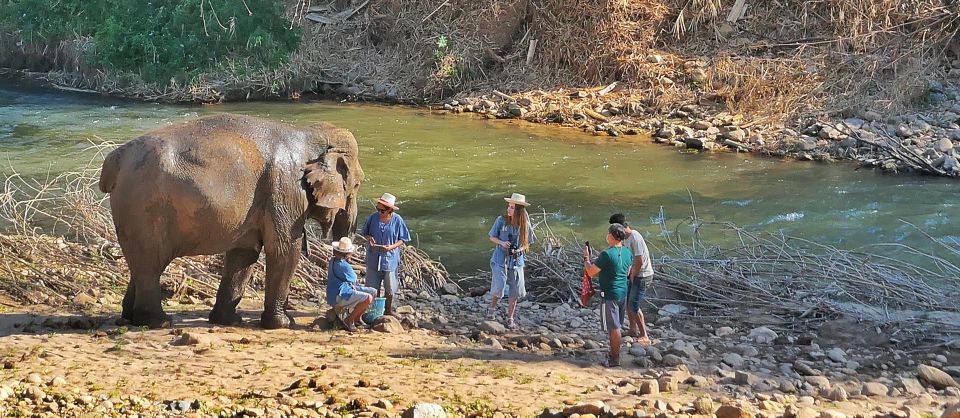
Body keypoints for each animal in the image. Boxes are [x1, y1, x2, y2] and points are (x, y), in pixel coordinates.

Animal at [98, 114, 364, 330]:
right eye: (358, 183)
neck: (309, 133)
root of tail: (115, 159)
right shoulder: (284, 190)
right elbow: (285, 250)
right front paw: (283, 324)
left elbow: (244, 254)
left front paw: (229, 321)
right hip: (145, 210)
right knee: (150, 265)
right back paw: (158, 322)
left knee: (140, 264)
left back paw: (130, 318)